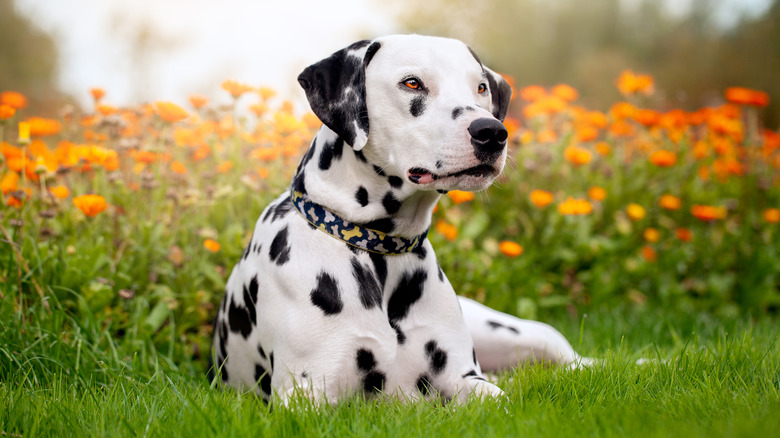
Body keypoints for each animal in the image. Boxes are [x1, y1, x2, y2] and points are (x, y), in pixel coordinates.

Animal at [210, 34, 588, 404]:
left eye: (481, 87)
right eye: (412, 83)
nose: (492, 132)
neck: (379, 250)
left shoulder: (467, 380)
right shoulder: (304, 395)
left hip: (520, 334)